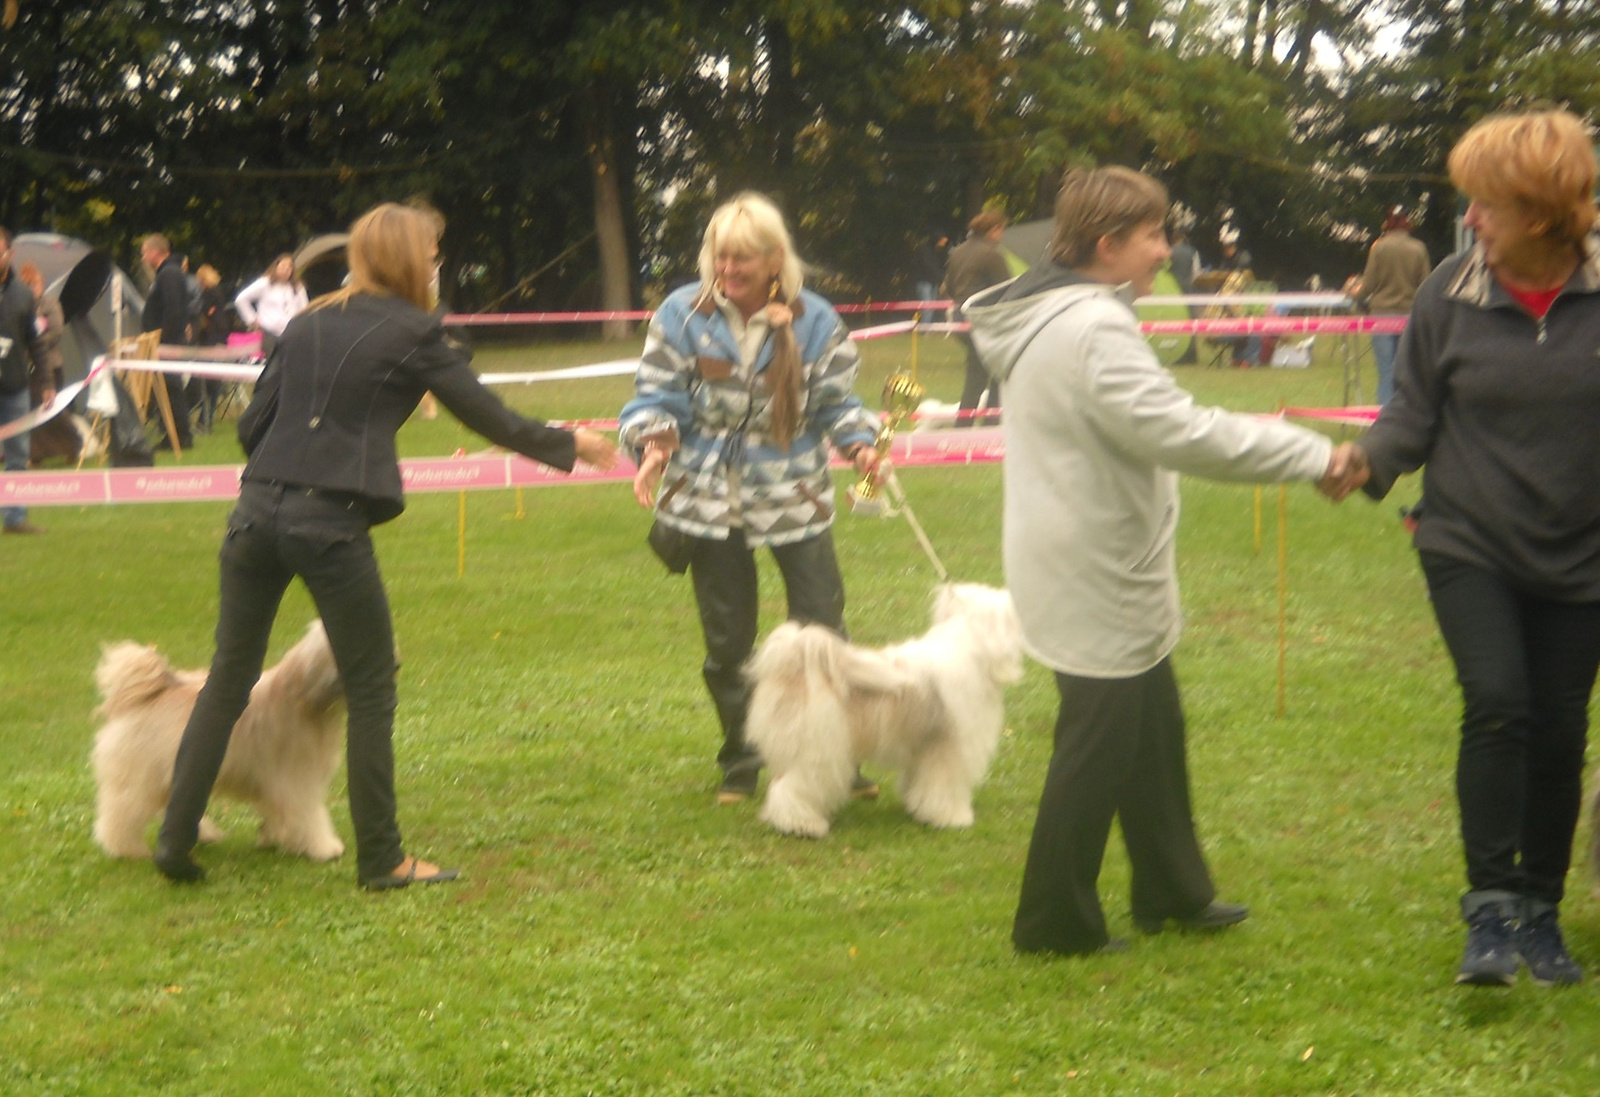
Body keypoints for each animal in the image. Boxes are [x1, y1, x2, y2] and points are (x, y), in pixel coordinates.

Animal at [90, 623, 347, 863]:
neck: (303, 696)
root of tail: (141, 696)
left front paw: (274, 838)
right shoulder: (296, 780)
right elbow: (310, 815)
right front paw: (325, 848)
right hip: (140, 778)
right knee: (122, 813)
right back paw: (127, 848)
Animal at [739, 588, 1017, 837]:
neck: (970, 650)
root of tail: (794, 661)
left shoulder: (922, 749)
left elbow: (918, 783)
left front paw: (916, 807)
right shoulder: (950, 750)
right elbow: (944, 788)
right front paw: (953, 818)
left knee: (779, 782)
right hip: (819, 752)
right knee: (792, 787)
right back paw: (803, 825)